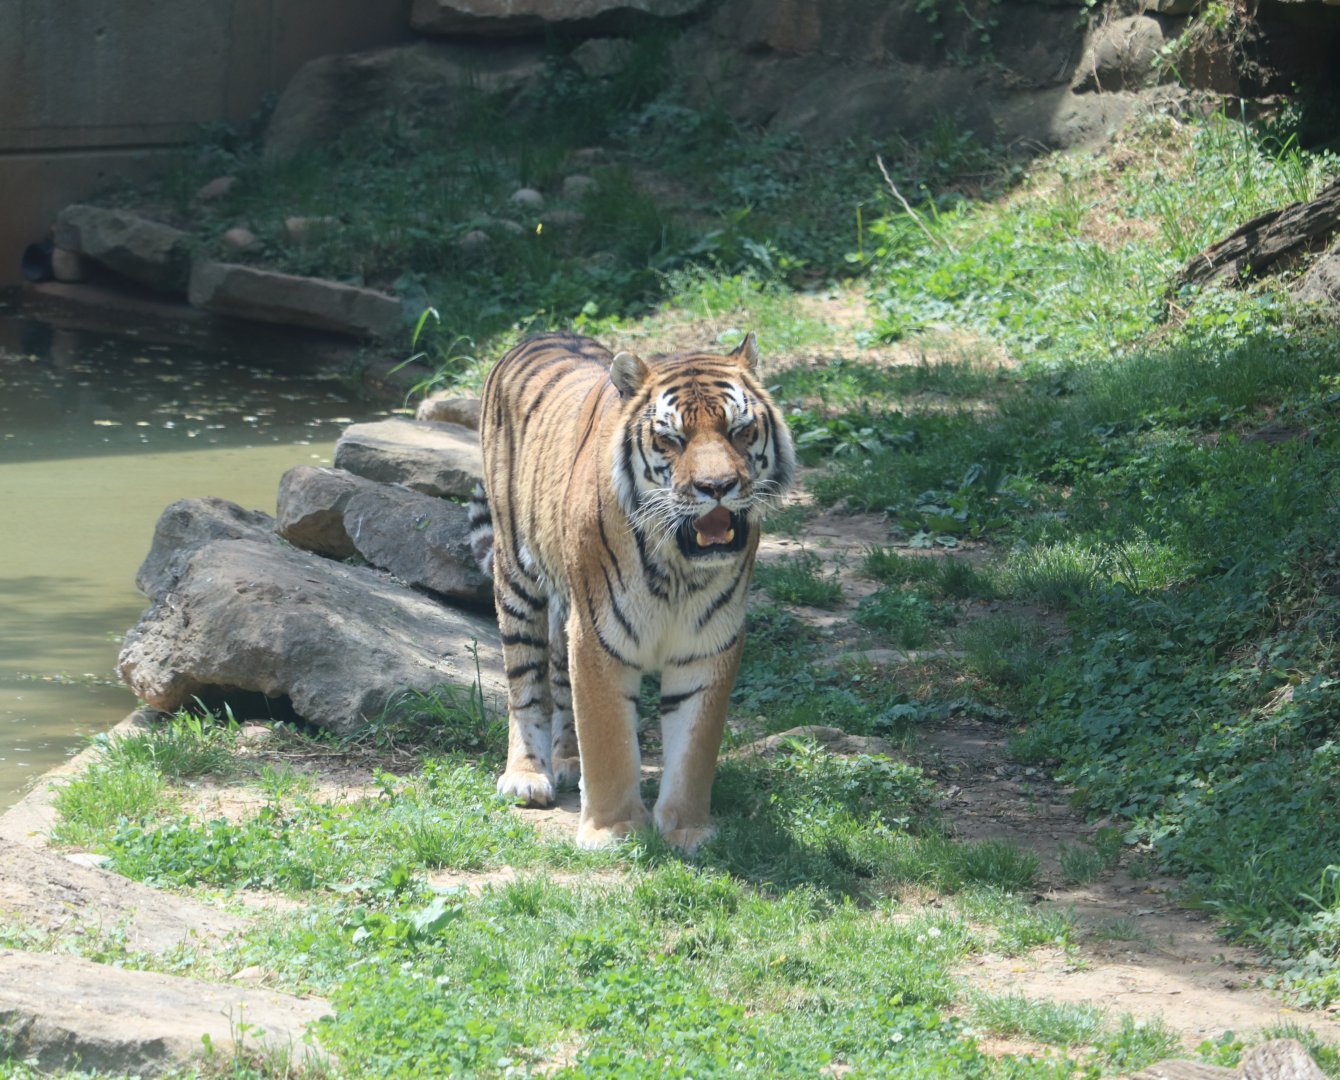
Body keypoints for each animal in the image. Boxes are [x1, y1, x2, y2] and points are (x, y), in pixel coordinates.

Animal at [468, 331, 795, 852]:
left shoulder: (708, 643)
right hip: (516, 576)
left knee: (559, 679)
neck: (680, 567)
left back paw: (567, 760)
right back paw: (527, 775)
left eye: (740, 431)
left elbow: (694, 747)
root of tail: (538, 335)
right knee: (525, 682)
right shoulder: (600, 637)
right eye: (671, 438)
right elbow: (609, 739)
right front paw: (613, 830)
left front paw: (687, 828)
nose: (717, 486)